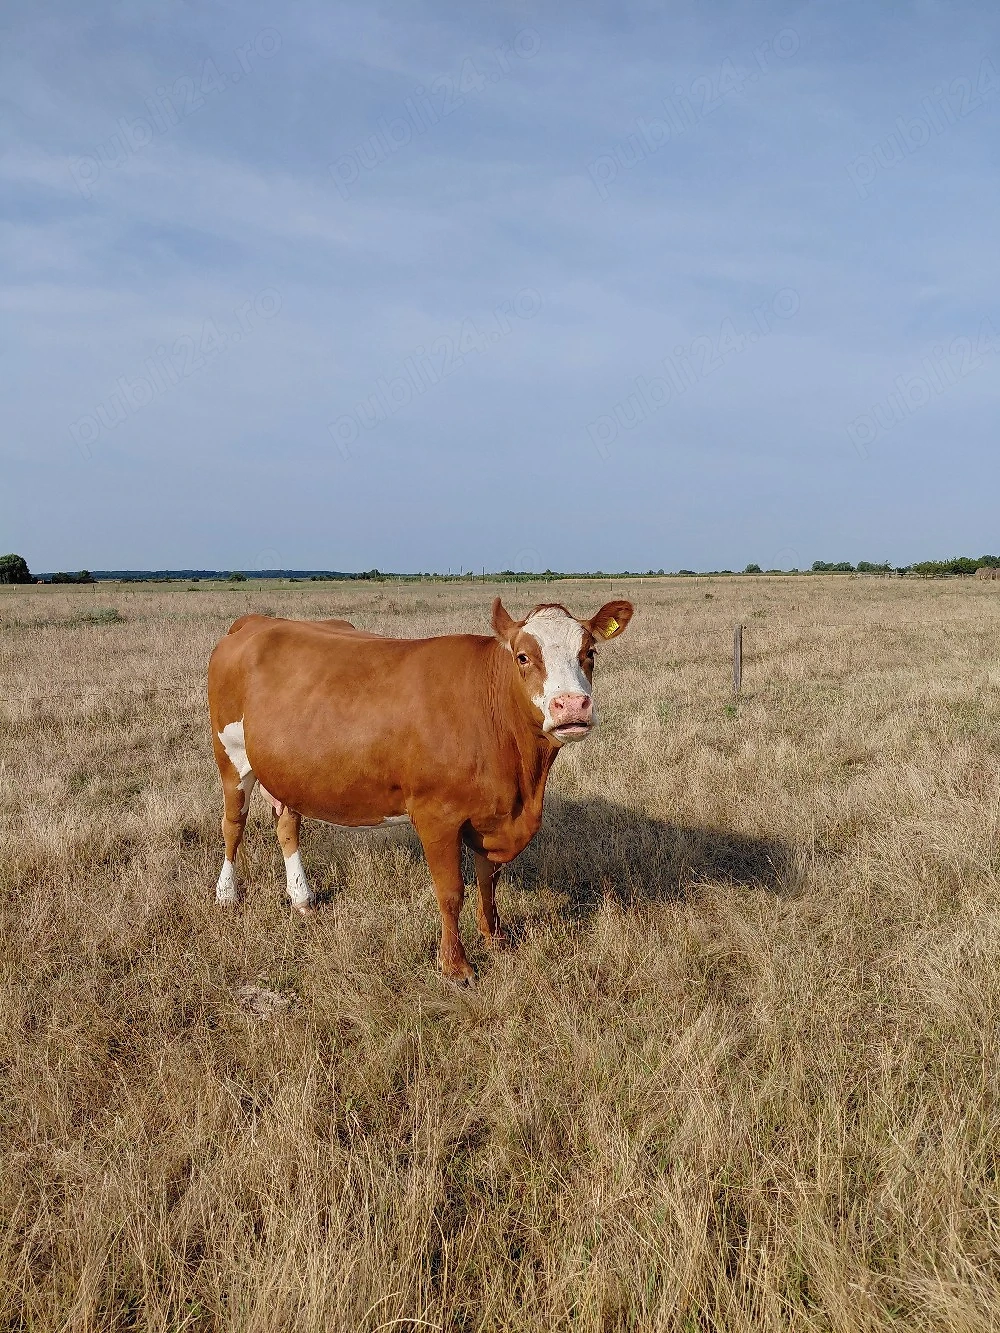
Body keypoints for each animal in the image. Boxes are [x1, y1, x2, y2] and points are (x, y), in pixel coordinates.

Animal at [207, 597, 633, 982]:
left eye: (590, 652)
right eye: (524, 657)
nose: (572, 705)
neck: (523, 785)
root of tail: (256, 621)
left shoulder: (493, 815)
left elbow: (488, 880)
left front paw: (494, 937)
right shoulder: (436, 816)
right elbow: (451, 891)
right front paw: (456, 966)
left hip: (287, 772)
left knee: (287, 824)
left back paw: (302, 898)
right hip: (230, 755)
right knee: (233, 825)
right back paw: (227, 894)